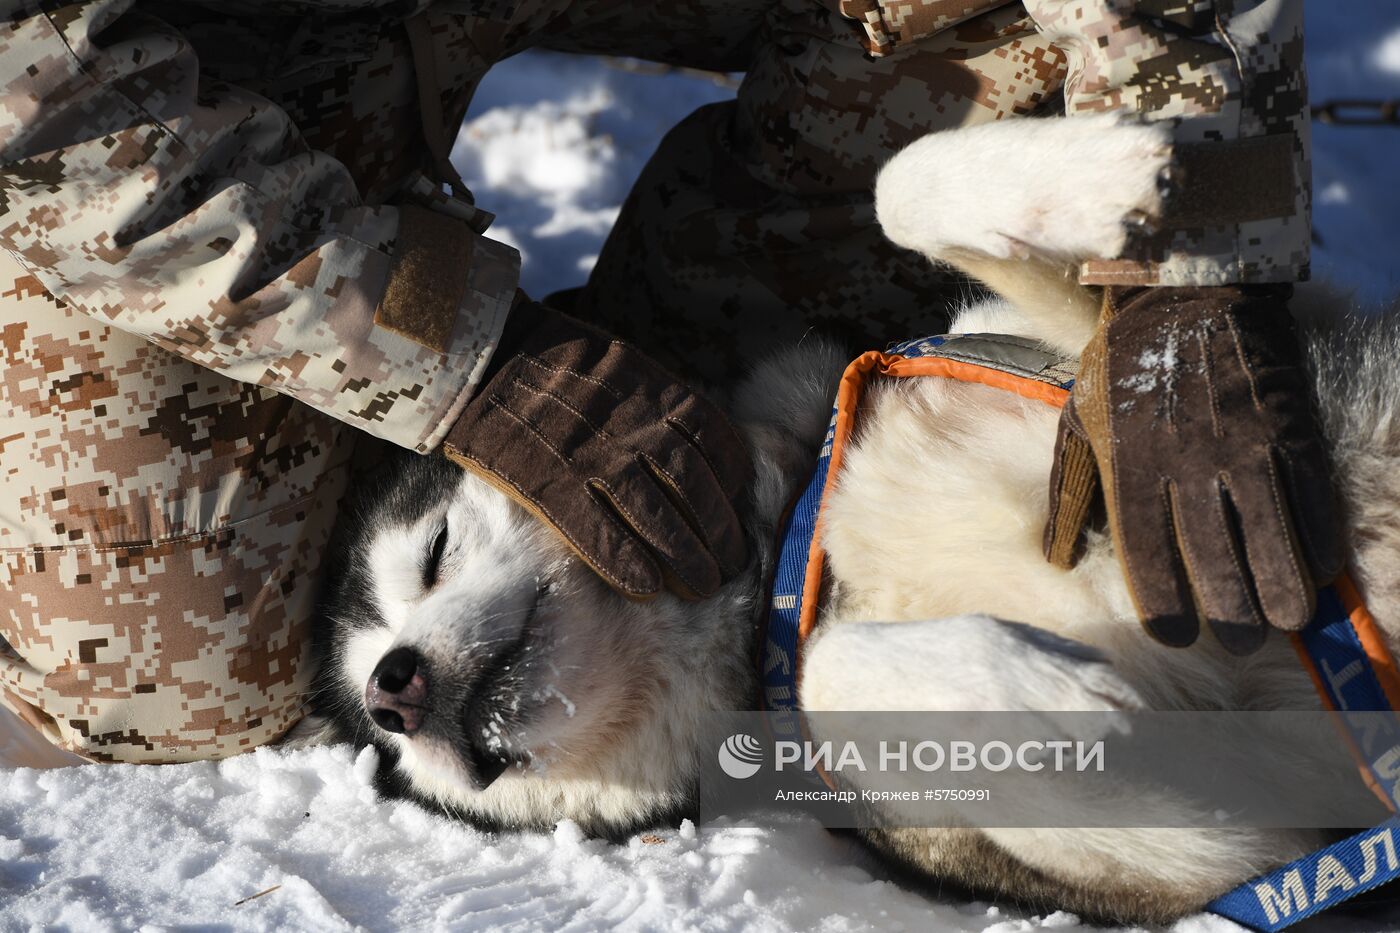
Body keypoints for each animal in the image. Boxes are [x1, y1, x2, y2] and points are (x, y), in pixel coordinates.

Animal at [306, 118, 1400, 924]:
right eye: (385, 736)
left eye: (435, 552)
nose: (395, 685)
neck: (802, 545)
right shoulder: (1227, 851)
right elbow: (838, 674)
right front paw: (1044, 683)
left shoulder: (1068, 366)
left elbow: (902, 187)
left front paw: (1114, 178)